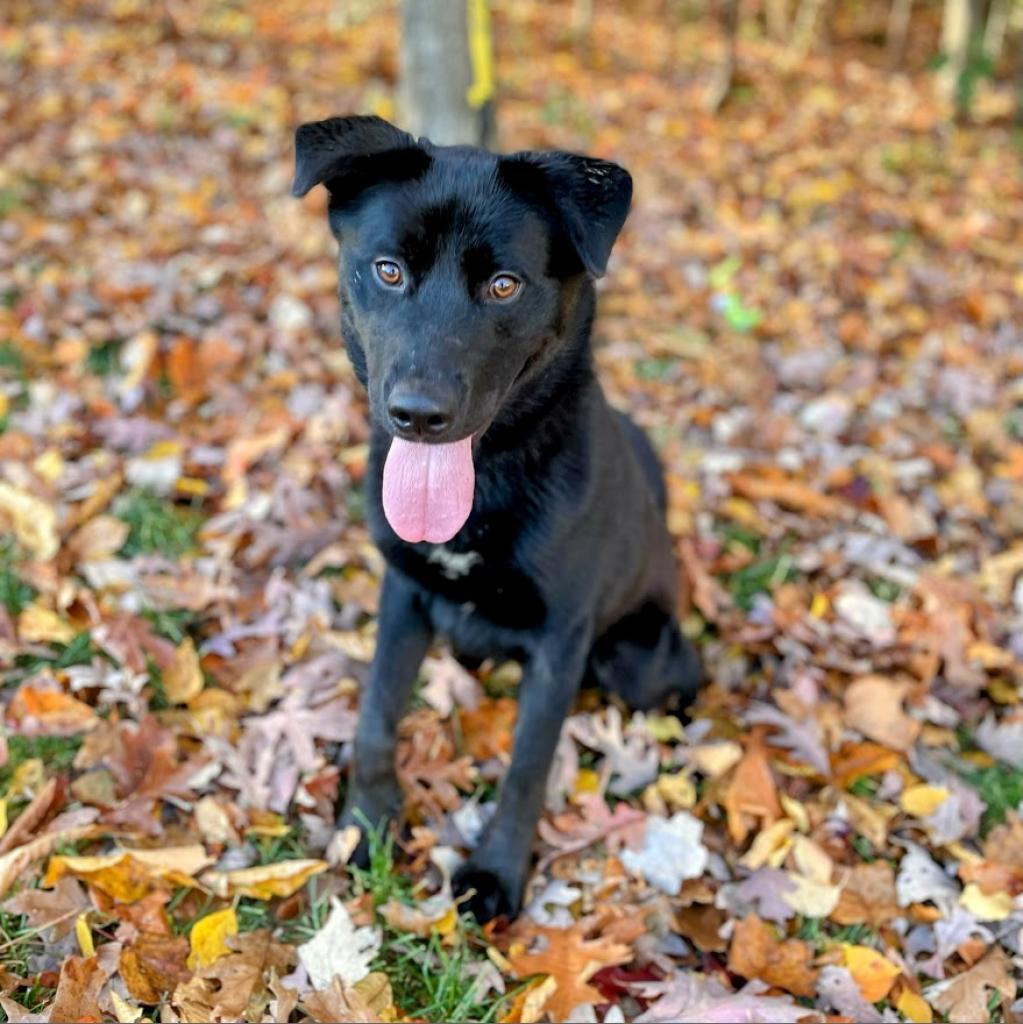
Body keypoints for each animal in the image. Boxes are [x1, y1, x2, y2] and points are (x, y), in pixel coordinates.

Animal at [292, 116, 700, 925]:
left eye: (503, 285)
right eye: (388, 271)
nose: (418, 415)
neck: (486, 482)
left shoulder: (561, 641)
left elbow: (527, 767)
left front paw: (496, 872)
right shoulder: (404, 593)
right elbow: (376, 714)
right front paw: (364, 824)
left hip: (636, 655)